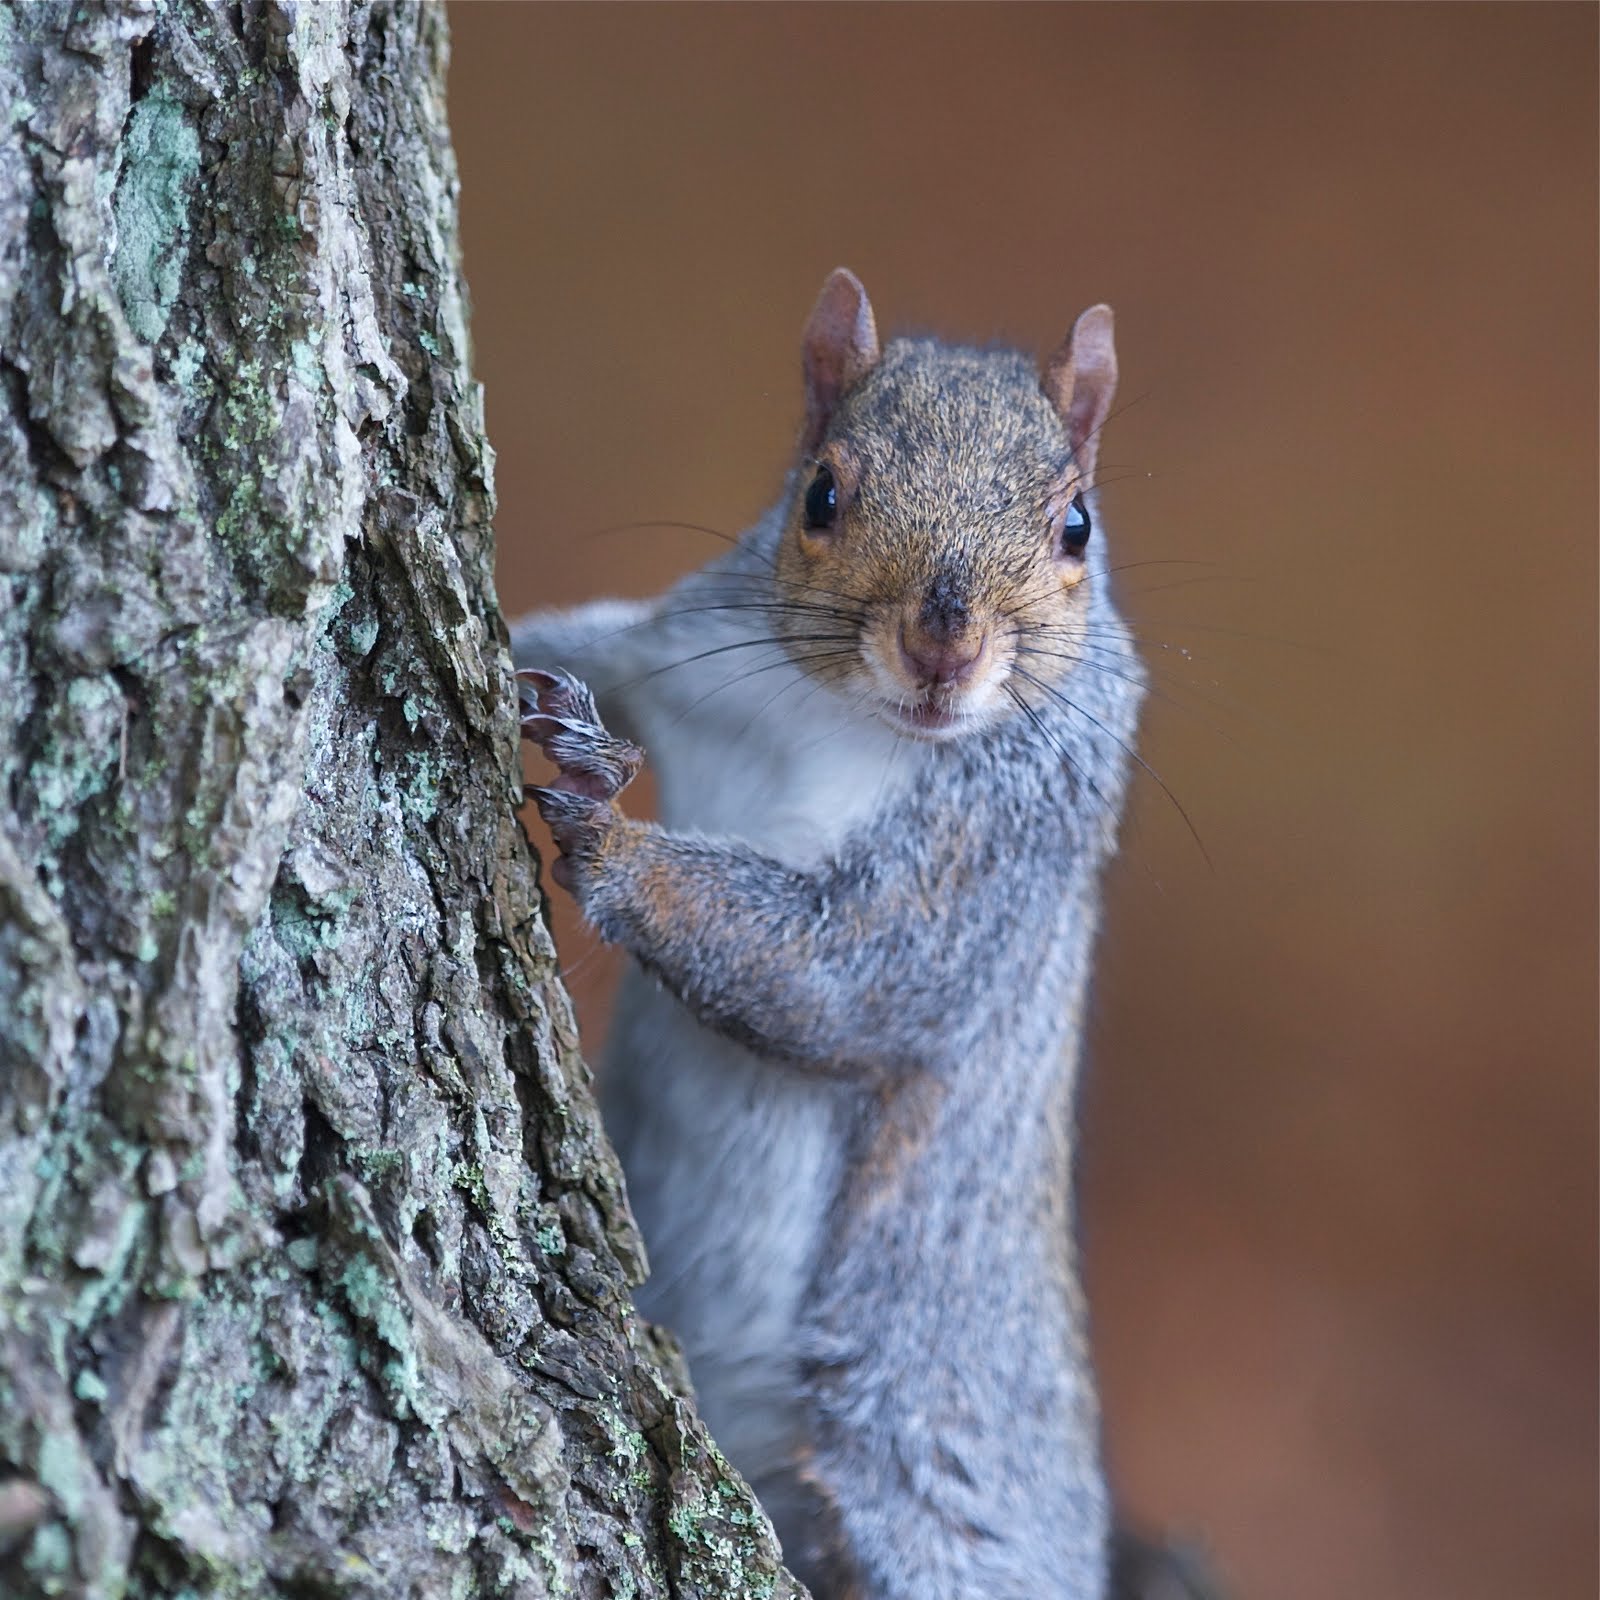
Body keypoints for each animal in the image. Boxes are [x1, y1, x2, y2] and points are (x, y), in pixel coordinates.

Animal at [513, 270, 1210, 1600]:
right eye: (821, 495)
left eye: (1076, 527)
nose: (945, 640)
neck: (844, 722)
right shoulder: (677, 658)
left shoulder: (996, 849)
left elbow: (843, 972)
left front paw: (605, 838)